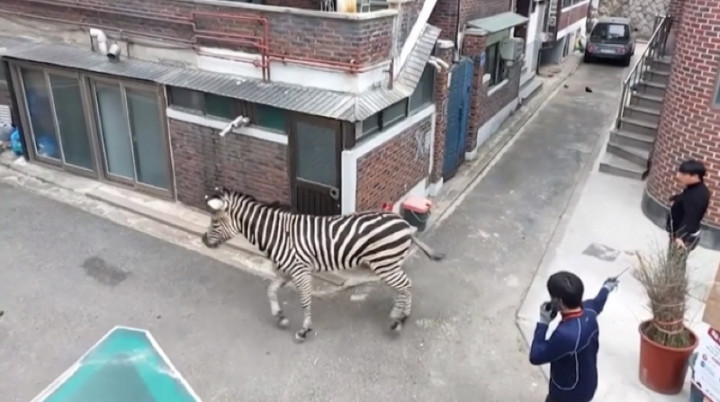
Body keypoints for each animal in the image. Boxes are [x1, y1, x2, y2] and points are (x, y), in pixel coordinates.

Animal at [201, 187, 445, 343]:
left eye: (215, 221)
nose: (203, 240)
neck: (278, 235)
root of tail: (404, 222)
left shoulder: (300, 271)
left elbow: (304, 301)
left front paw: (304, 330)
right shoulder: (285, 271)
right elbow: (270, 290)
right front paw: (280, 317)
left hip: (385, 263)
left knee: (405, 285)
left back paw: (399, 320)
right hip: (389, 264)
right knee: (404, 285)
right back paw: (399, 313)